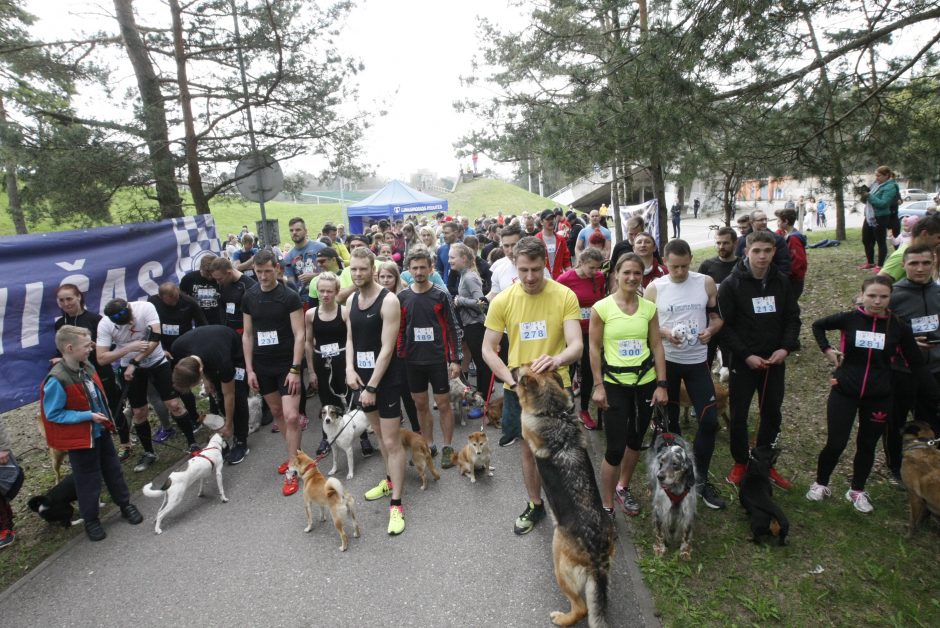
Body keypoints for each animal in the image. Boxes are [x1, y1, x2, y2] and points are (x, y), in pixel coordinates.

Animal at [516, 368, 616, 628]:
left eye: (520, 373)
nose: (511, 370)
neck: (554, 412)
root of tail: (597, 554)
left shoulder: (525, 425)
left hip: (559, 561)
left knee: (581, 609)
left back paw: (561, 618)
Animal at [648, 432, 692, 560]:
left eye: (675, 464)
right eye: (662, 461)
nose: (660, 476)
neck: (676, 489)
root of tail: (666, 433)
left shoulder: (687, 510)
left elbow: (686, 532)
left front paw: (685, 551)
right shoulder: (661, 509)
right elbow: (659, 532)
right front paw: (660, 548)